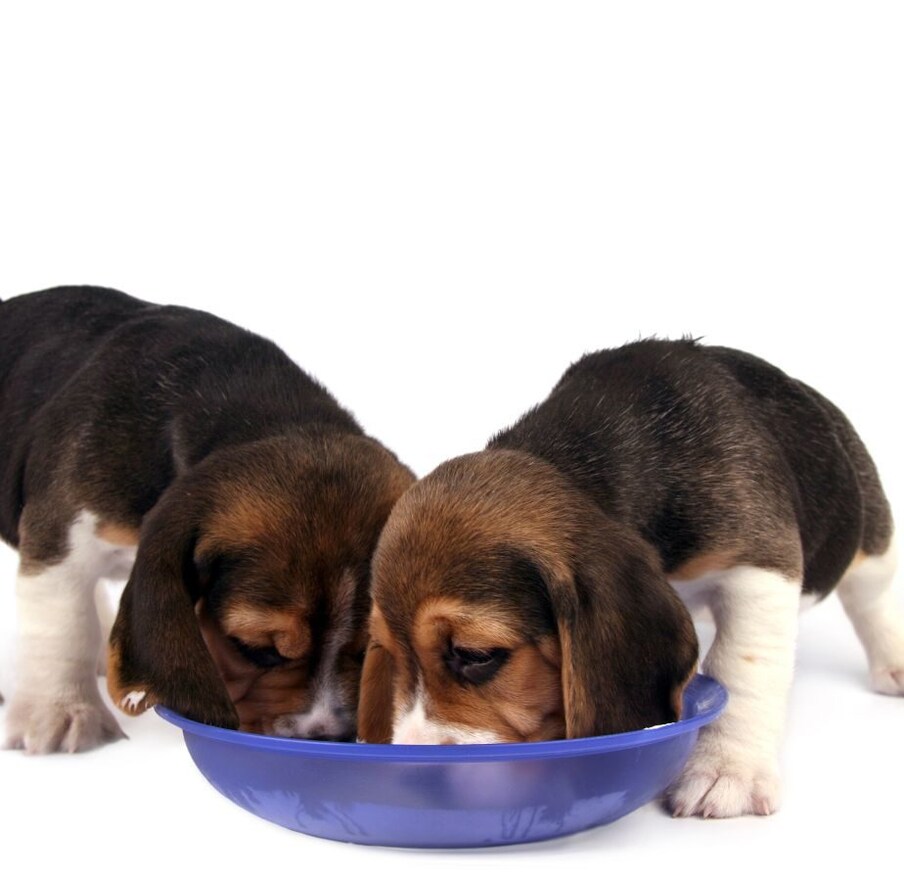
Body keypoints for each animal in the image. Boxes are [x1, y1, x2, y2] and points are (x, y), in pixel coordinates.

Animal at [0, 286, 414, 753]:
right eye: (255, 649)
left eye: (366, 649)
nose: (329, 736)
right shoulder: (62, 534)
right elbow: (65, 625)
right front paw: (62, 712)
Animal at [358, 338, 903, 818]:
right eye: (391, 654)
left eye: (475, 655)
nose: (414, 781)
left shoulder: (761, 561)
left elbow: (742, 665)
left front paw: (727, 770)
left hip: (871, 537)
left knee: (871, 599)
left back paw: (893, 662)